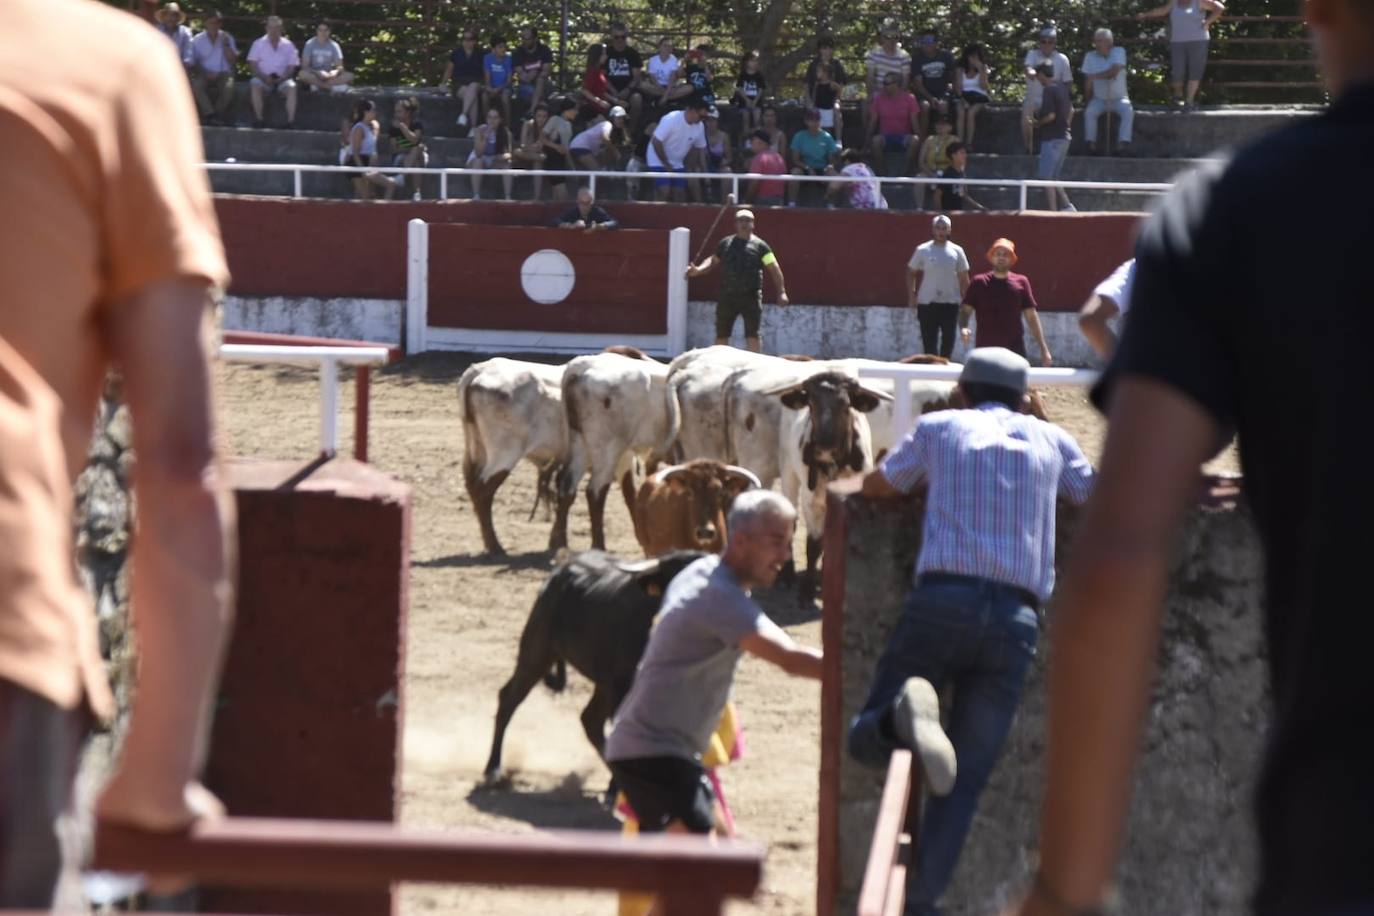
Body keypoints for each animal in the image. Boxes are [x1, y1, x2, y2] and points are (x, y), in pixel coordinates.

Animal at [458, 357, 571, 560]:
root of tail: (479, 370)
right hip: (504, 453)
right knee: (483, 491)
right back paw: (495, 546)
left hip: (476, 449)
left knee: (472, 487)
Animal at [555, 351, 667, 552]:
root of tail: (583, 365)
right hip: (608, 449)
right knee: (595, 492)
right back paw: (598, 546)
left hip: (581, 444)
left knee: (567, 487)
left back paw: (561, 543)